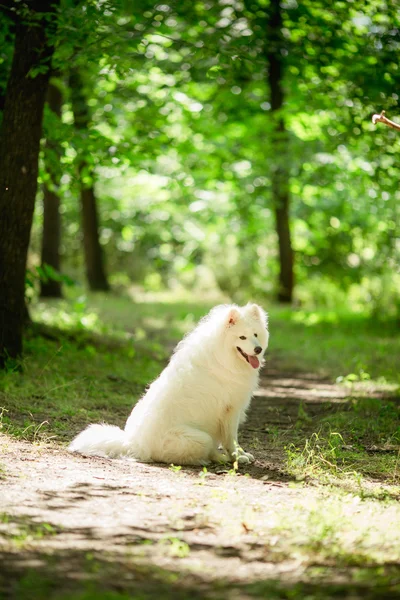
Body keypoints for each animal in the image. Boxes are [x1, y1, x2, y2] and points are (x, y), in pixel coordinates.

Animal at [69, 302, 268, 466]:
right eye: (242, 337)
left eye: (255, 335)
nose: (258, 349)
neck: (223, 357)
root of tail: (133, 444)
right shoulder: (230, 410)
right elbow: (231, 439)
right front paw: (237, 457)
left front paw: (243, 454)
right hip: (202, 438)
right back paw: (217, 458)